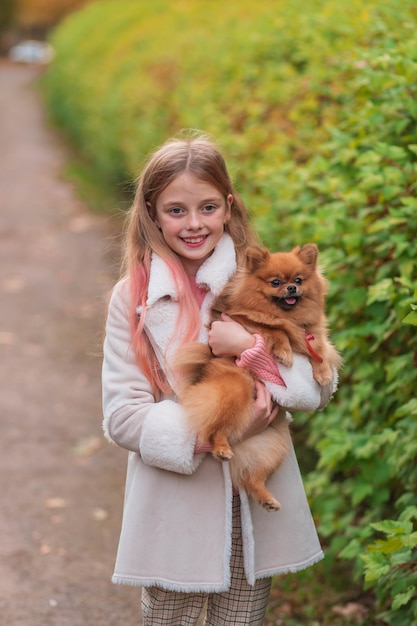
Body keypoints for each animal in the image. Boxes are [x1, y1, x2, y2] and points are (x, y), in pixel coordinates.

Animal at [174, 241, 340, 510]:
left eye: (299, 280)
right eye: (275, 282)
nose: (291, 287)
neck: (287, 316)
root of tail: (238, 438)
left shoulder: (313, 335)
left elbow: (320, 352)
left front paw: (323, 373)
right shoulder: (248, 323)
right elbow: (273, 330)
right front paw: (283, 352)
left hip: (273, 447)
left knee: (252, 478)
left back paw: (267, 499)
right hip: (236, 388)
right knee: (212, 431)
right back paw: (221, 448)